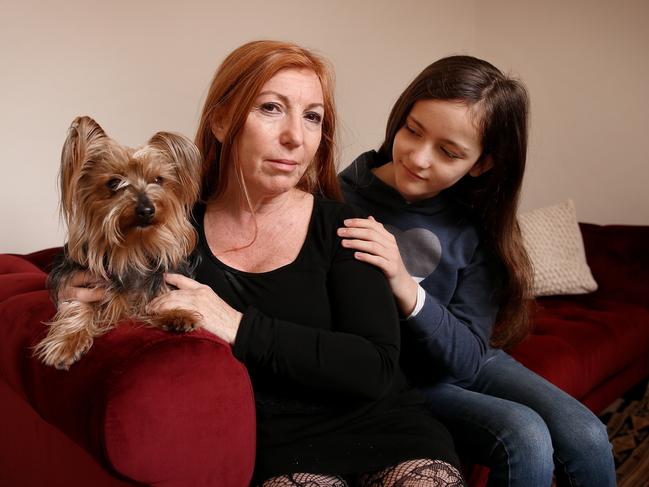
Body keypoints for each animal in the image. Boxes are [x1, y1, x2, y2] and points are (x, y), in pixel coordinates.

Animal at [34, 117, 200, 370]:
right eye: (114, 183)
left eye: (158, 180)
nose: (146, 209)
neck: (133, 248)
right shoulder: (80, 282)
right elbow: (78, 304)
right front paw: (67, 343)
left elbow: (163, 294)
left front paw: (177, 314)